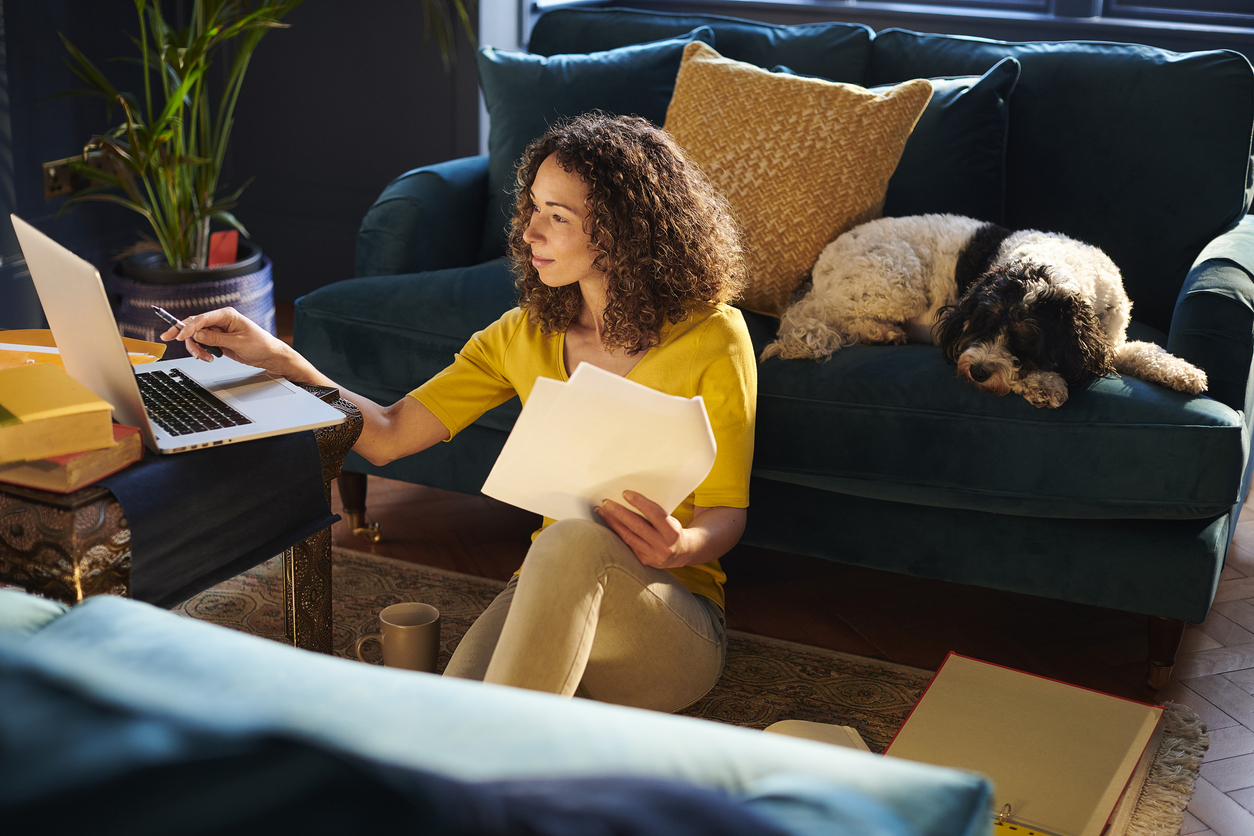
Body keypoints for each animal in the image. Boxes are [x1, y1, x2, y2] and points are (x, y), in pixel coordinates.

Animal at [757, 214, 1208, 411]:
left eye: (1026, 339)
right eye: (981, 326)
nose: (976, 371)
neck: (1056, 266)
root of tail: (817, 272)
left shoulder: (1109, 339)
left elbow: (1143, 350)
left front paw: (1183, 371)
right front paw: (1044, 383)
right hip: (896, 282)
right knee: (841, 317)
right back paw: (882, 333)